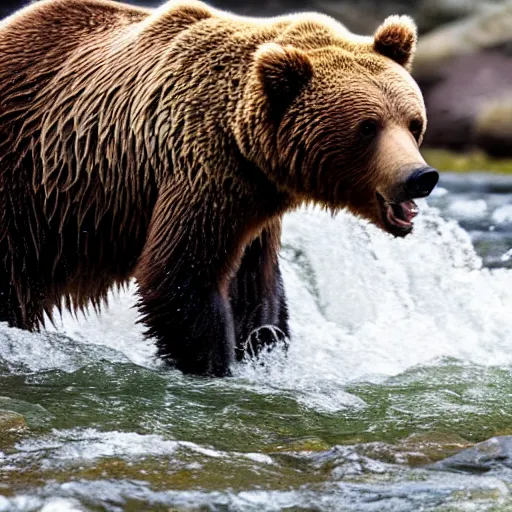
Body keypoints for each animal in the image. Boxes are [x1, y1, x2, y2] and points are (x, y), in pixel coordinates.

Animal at [0, 0, 438, 376]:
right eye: (367, 127)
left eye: (413, 121)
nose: (419, 176)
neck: (244, 142)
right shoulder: (198, 170)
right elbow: (181, 277)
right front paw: (213, 364)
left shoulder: (255, 205)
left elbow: (256, 289)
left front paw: (263, 348)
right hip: (26, 186)